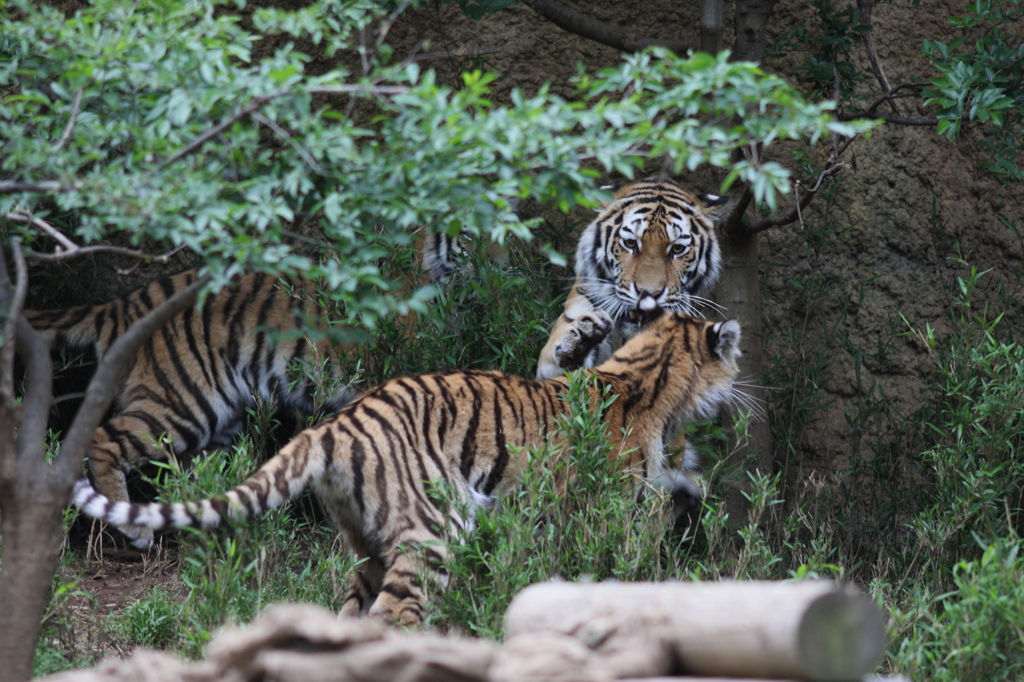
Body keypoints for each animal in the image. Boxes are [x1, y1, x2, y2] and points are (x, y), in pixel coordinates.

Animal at [25, 266, 358, 548]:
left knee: (193, 480)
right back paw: (137, 529)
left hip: (218, 420)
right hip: (184, 405)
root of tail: (118, 306)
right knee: (102, 439)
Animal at [74, 311, 745, 622]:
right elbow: (622, 566)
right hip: (435, 530)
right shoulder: (608, 511)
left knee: (352, 613)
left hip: (369, 540)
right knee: (393, 615)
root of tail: (335, 425)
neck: (649, 376)